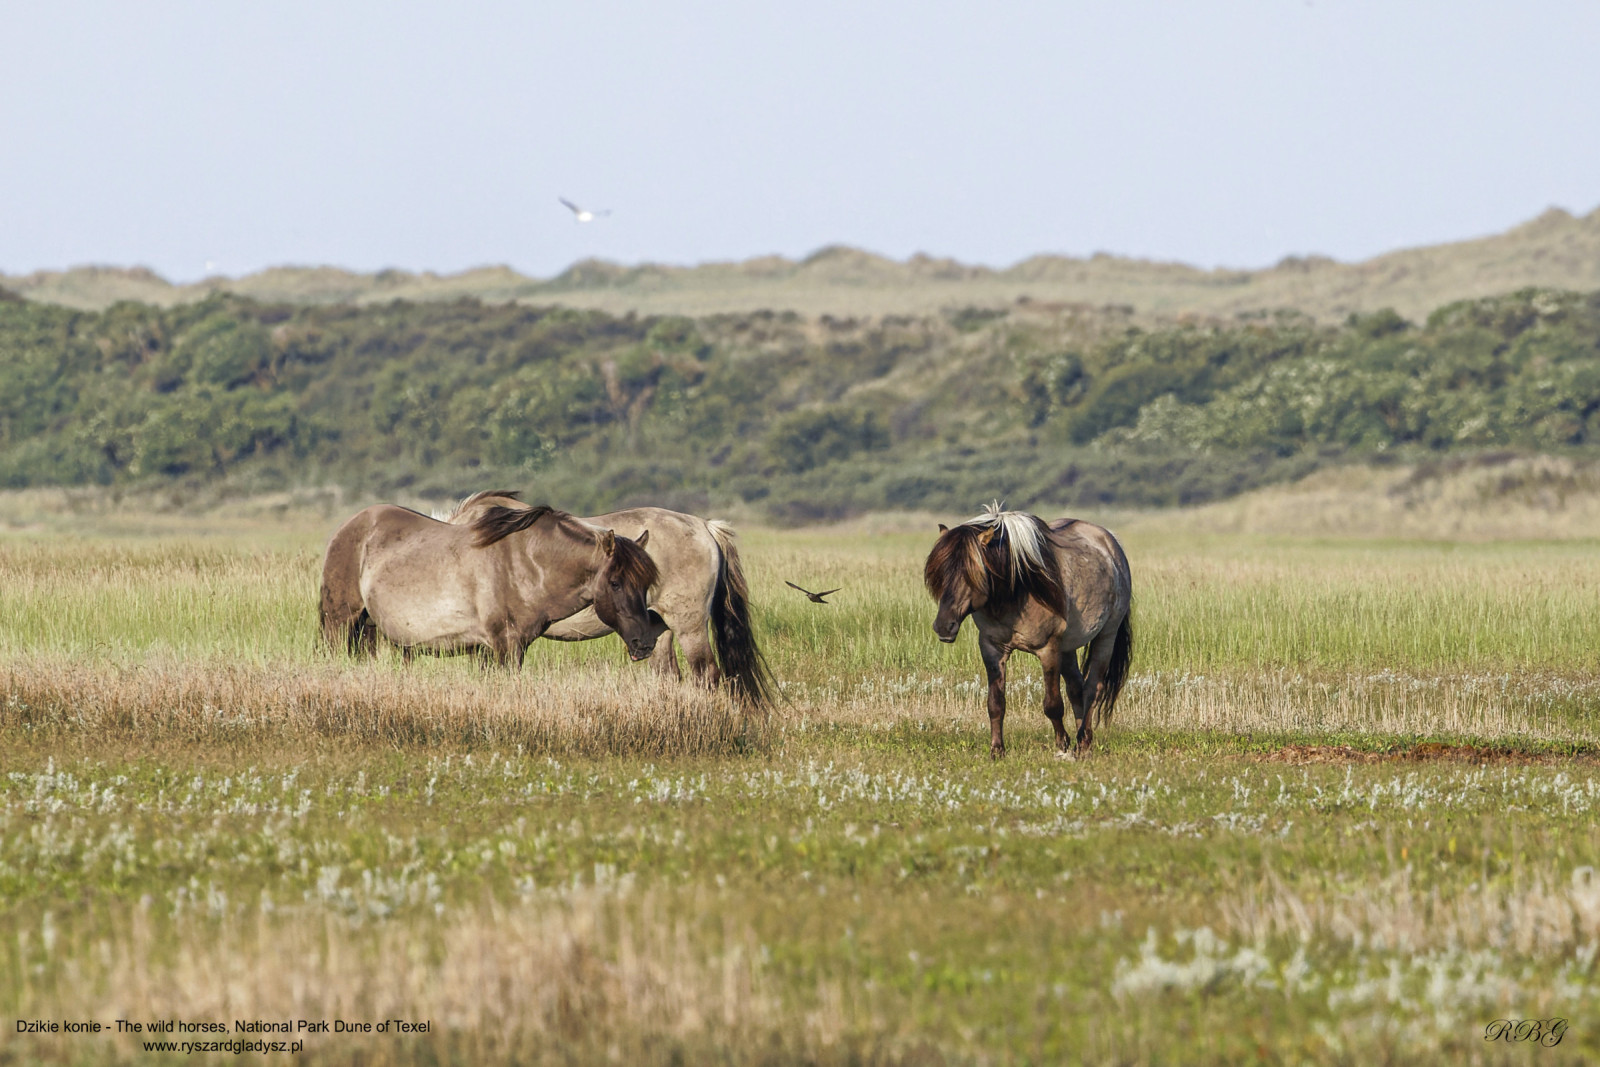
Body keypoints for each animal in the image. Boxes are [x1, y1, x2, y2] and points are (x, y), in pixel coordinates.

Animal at [319, 502, 659, 668]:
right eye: (615, 583)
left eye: (645, 585)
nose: (644, 643)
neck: (527, 564)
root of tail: (348, 526)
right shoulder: (505, 645)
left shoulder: (502, 647)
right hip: (340, 623)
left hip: (369, 630)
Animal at [924, 504, 1133, 756]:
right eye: (941, 573)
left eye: (971, 573)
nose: (943, 626)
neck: (1015, 592)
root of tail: (1110, 542)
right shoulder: (992, 648)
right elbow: (995, 704)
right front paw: (997, 750)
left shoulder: (1048, 650)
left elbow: (1052, 705)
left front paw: (1062, 743)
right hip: (1068, 647)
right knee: (1076, 688)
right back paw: (1082, 741)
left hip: (1106, 636)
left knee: (1093, 688)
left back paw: (1083, 741)